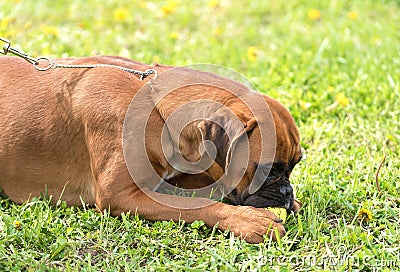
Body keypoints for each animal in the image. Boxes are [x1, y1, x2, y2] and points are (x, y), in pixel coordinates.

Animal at [0, 56, 300, 243]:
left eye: (295, 165)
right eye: (267, 171)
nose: (286, 192)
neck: (155, 105)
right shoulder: (118, 196)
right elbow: (195, 205)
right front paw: (249, 221)